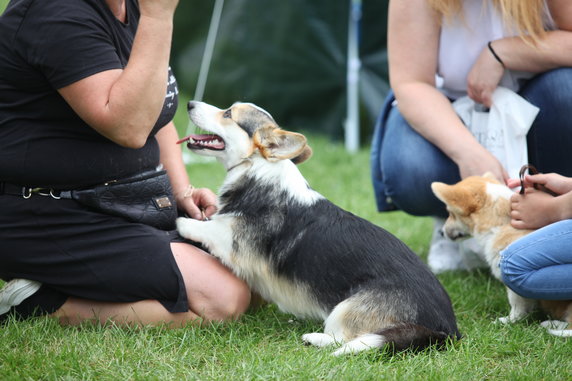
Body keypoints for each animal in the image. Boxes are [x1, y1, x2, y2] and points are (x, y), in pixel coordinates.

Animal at [177, 100, 462, 354]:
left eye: (228, 113)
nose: (189, 103)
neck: (257, 168)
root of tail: (446, 331)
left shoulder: (234, 240)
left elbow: (205, 226)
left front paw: (180, 219)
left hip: (345, 307)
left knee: (343, 338)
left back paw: (314, 338)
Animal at [432, 174, 568, 328]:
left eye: (451, 213)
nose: (441, 232)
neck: (502, 222)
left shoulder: (511, 280)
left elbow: (517, 306)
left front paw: (508, 321)